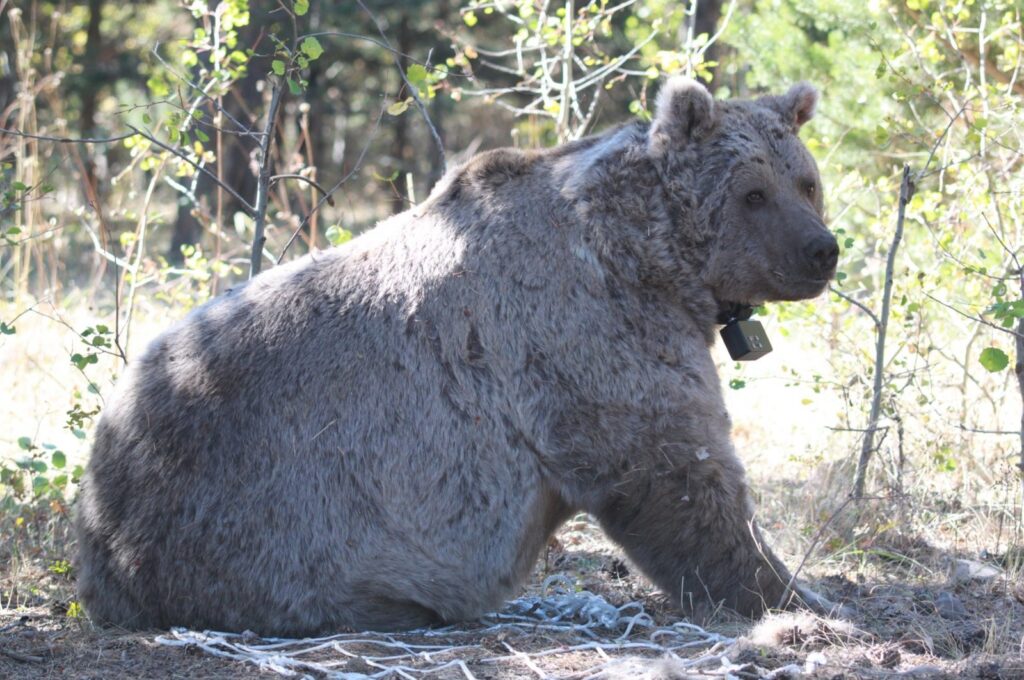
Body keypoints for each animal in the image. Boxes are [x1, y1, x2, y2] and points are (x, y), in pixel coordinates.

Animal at [74, 79, 839, 639]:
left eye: (806, 182)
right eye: (752, 192)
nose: (820, 250)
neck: (655, 256)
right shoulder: (584, 335)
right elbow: (677, 473)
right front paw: (792, 594)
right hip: (258, 522)